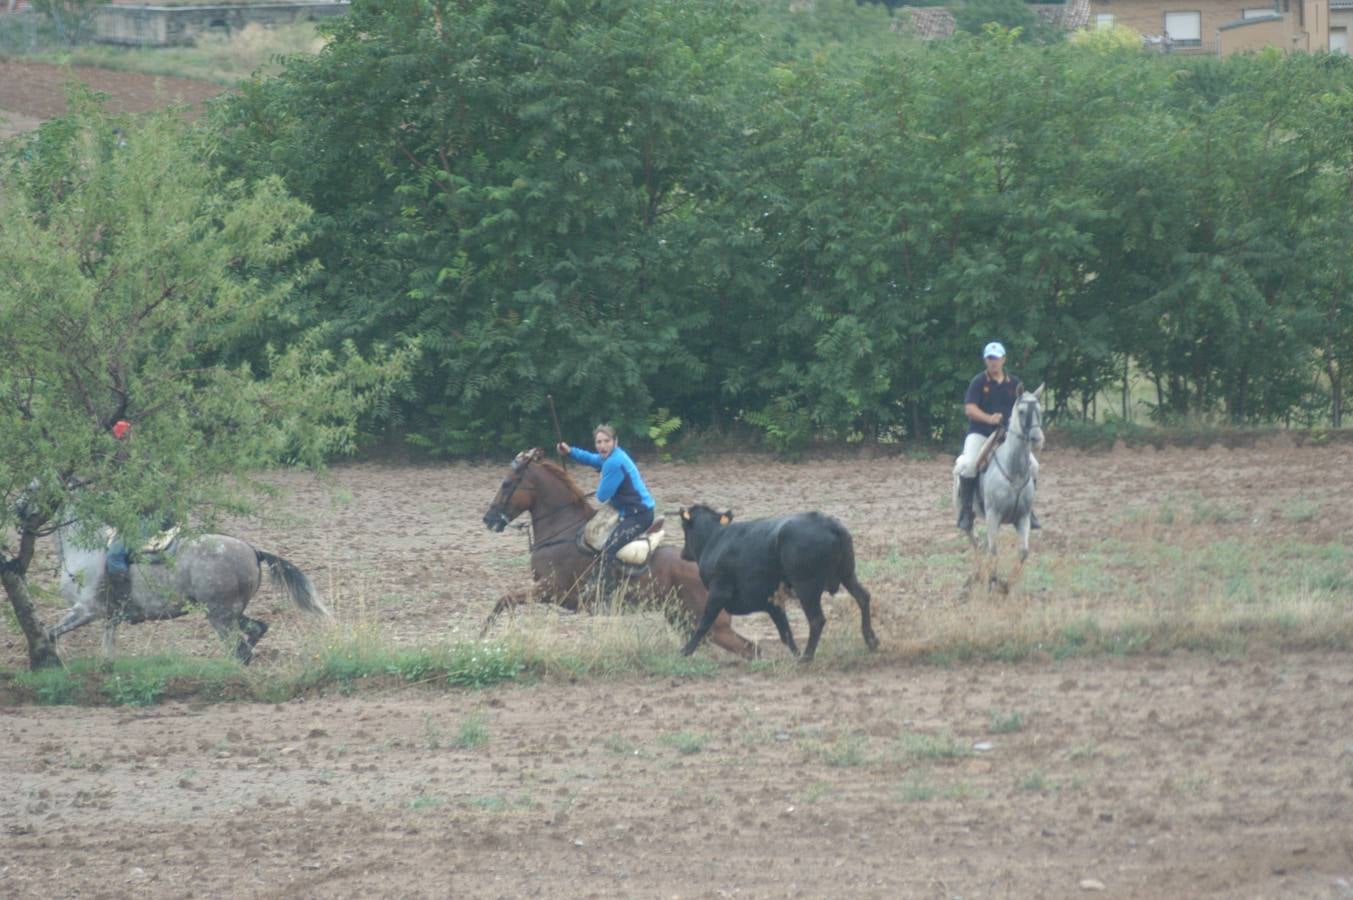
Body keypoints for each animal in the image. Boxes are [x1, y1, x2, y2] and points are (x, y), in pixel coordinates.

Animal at [51, 519, 331, 660]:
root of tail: (252, 549)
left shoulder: (86, 610)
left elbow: (50, 633)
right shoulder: (108, 618)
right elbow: (107, 652)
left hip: (220, 616)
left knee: (238, 647)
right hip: (231, 613)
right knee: (255, 631)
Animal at [476, 446, 757, 657]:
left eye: (507, 484)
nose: (488, 519)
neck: (562, 528)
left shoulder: (551, 589)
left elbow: (505, 600)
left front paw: (483, 636)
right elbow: (505, 601)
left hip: (710, 622)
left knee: (749, 648)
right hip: (681, 616)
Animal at [673, 506, 876, 660]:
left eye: (684, 527)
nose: (683, 553)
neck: (715, 539)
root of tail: (831, 525)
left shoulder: (718, 592)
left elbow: (704, 623)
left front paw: (685, 651)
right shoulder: (772, 602)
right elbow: (785, 633)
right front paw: (795, 653)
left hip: (806, 589)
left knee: (817, 620)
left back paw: (807, 657)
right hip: (847, 575)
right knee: (863, 597)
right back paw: (871, 641)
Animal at [957, 381, 1039, 587]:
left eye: (1040, 411)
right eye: (1021, 411)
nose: (1037, 438)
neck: (1014, 471)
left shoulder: (1022, 517)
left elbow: (1023, 552)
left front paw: (1006, 585)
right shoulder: (993, 515)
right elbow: (994, 550)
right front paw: (993, 581)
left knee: (981, 544)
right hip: (967, 511)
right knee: (974, 540)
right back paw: (976, 575)